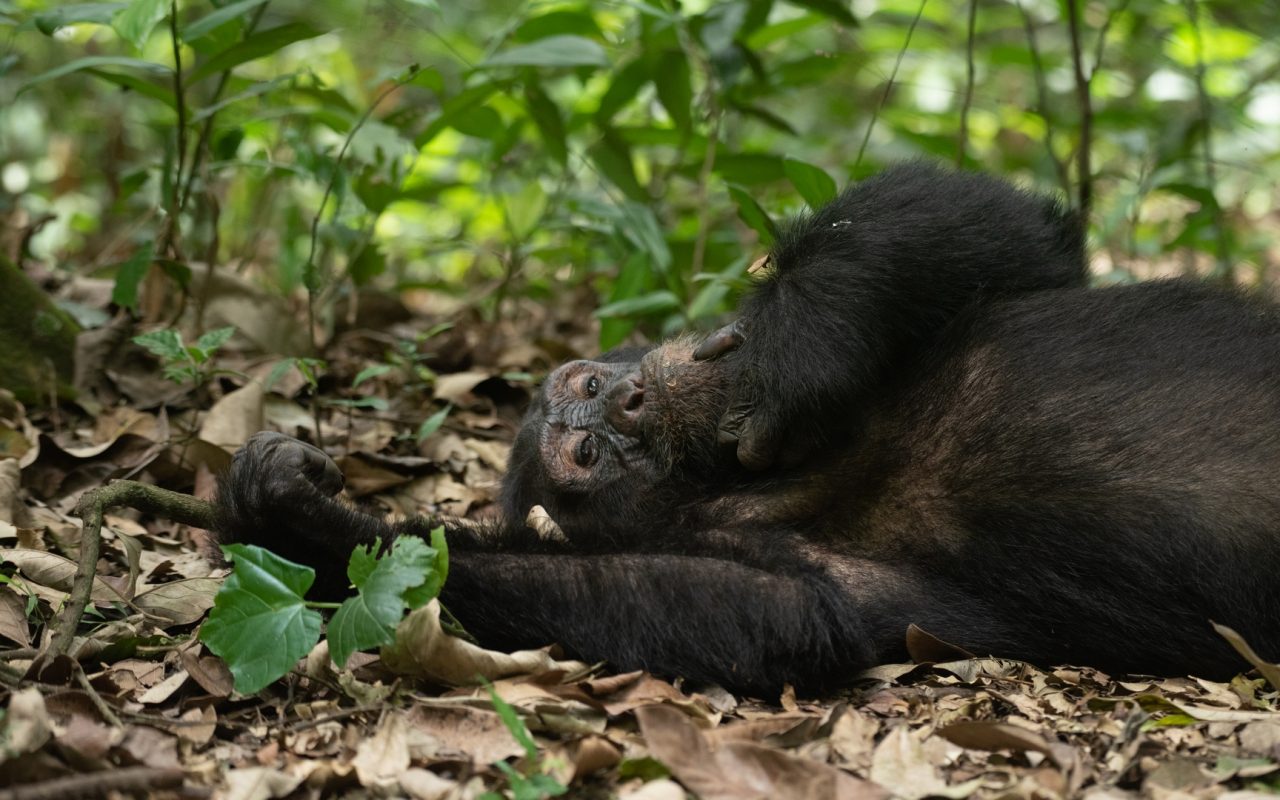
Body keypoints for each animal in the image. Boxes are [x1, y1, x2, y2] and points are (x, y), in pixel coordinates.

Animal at [215, 162, 1280, 691]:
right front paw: (299, 518)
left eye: (587, 379)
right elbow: (760, 614)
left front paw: (792, 347)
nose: (621, 401)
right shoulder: (813, 571)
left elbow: (992, 228)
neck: (740, 479)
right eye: (585, 453)